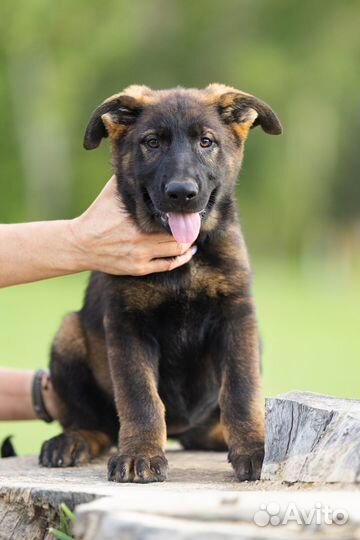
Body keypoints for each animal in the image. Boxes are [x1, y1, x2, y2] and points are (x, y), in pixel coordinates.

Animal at [38, 85, 282, 486]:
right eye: (152, 143)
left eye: (206, 142)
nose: (181, 193)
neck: (183, 259)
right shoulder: (127, 324)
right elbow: (140, 397)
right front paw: (140, 453)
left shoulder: (237, 315)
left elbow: (242, 390)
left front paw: (256, 448)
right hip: (68, 333)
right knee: (97, 424)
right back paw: (74, 440)